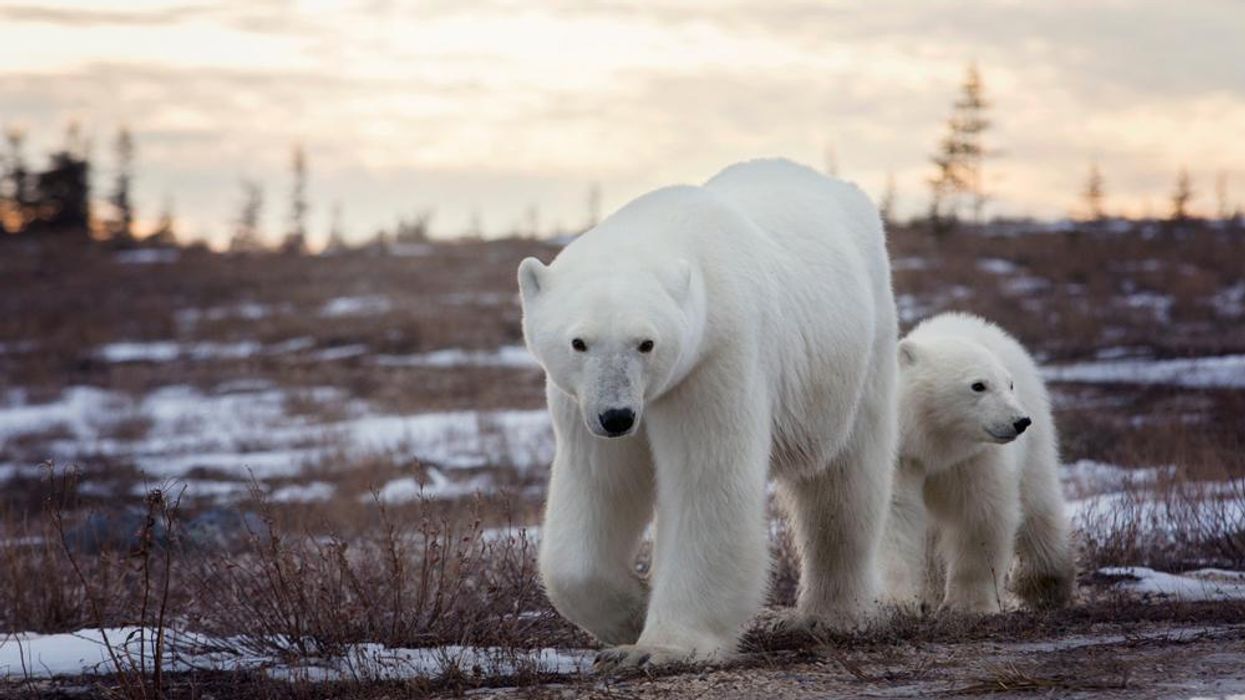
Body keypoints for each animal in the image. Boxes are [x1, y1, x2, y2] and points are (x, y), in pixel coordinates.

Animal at [517, 158, 898, 670]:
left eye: (646, 342)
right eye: (579, 342)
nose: (617, 416)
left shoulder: (714, 360)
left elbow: (706, 481)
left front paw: (658, 648)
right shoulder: (580, 403)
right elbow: (601, 484)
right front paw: (631, 614)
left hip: (857, 355)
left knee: (844, 483)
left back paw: (833, 615)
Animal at [881, 311, 1075, 615]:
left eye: (1009, 384)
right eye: (978, 385)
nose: (1020, 421)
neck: (934, 444)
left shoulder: (975, 458)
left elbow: (980, 515)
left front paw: (968, 604)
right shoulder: (902, 456)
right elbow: (895, 515)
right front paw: (895, 603)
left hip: (1037, 438)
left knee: (1038, 505)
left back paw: (1045, 584)